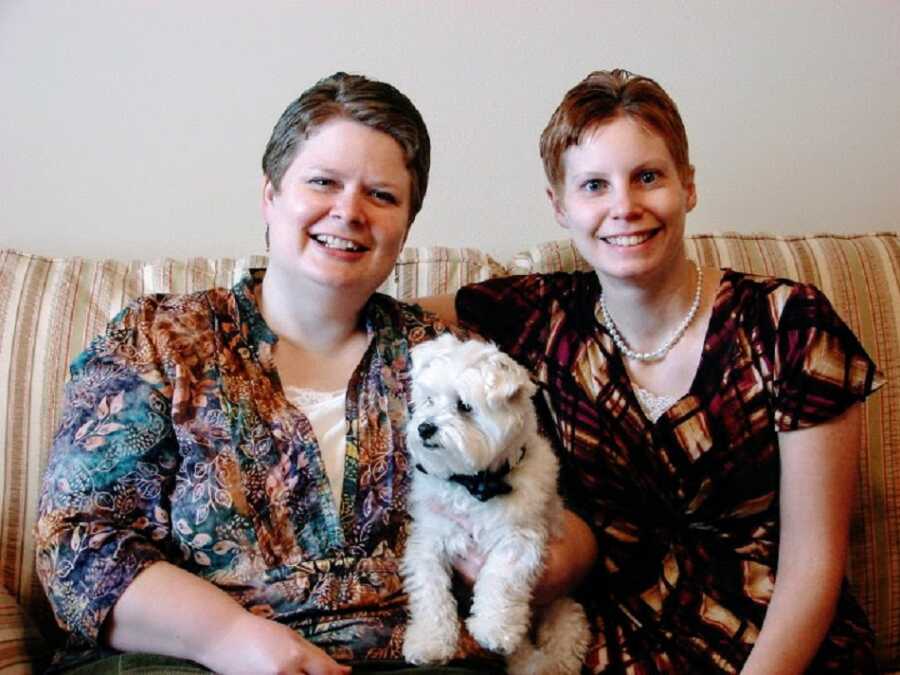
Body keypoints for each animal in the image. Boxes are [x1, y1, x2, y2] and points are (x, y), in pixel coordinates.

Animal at [400, 336, 592, 672]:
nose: (424, 428)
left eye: (464, 406)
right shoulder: (429, 539)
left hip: (564, 612)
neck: (473, 483)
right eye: (429, 400)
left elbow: (501, 576)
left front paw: (493, 628)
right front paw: (430, 641)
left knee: (562, 645)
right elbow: (430, 591)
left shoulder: (520, 536)